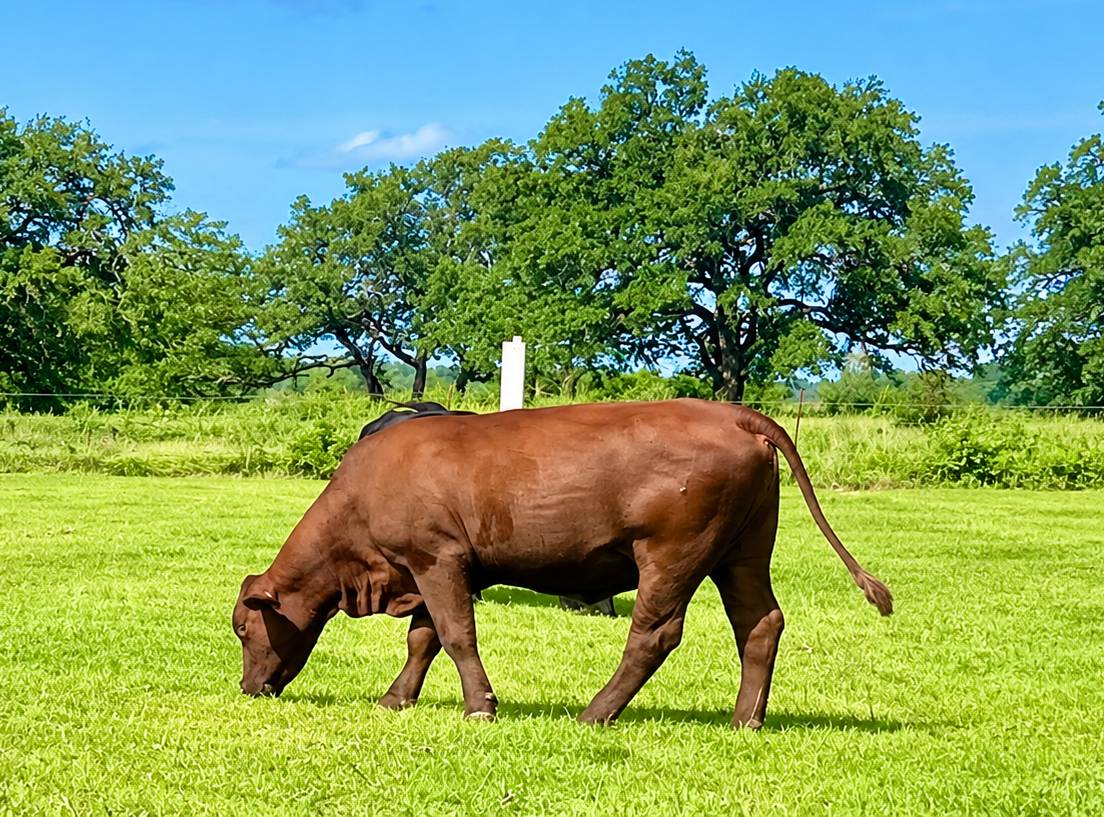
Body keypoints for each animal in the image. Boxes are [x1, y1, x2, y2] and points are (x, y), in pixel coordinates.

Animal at [233, 399, 892, 729]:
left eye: (243, 629)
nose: (247, 688)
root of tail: (733, 412)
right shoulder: (428, 568)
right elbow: (425, 639)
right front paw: (397, 699)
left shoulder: (436, 558)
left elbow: (455, 634)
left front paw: (480, 707)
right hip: (743, 551)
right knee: (760, 624)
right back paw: (745, 719)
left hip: (673, 552)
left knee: (655, 634)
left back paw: (596, 712)